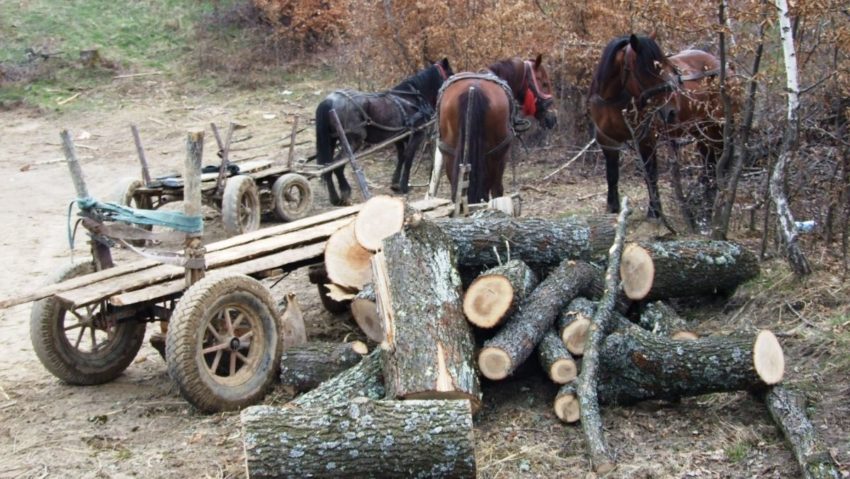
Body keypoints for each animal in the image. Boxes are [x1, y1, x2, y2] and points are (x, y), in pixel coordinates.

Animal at [314, 57, 454, 204]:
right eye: (450, 74)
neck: (413, 99)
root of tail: (330, 100)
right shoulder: (417, 134)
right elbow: (409, 157)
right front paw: (404, 185)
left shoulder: (399, 137)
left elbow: (402, 156)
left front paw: (395, 184)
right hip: (352, 142)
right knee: (337, 165)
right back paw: (345, 192)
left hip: (331, 140)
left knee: (327, 167)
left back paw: (334, 197)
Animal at [438, 54, 556, 204]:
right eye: (545, 84)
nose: (552, 117)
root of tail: (474, 89)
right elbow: (496, 189)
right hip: (496, 156)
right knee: (492, 189)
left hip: (450, 154)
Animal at [588, 33, 732, 219]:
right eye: (645, 71)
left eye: (668, 67)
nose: (671, 111)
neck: (613, 100)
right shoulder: (607, 141)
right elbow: (612, 175)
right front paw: (612, 208)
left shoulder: (646, 139)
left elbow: (650, 174)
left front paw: (655, 211)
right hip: (700, 130)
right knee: (710, 162)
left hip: (716, 128)